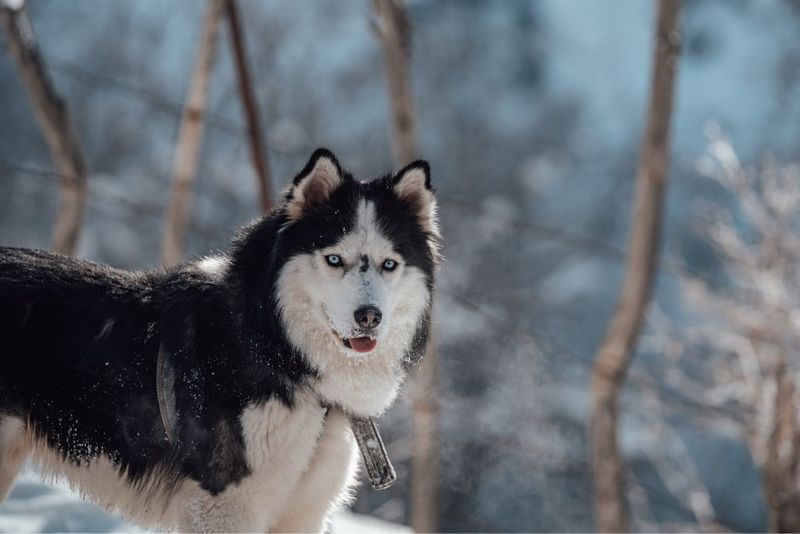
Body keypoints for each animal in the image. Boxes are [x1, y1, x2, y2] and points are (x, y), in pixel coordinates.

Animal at [0, 149, 438, 532]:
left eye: (389, 265)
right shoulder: (225, 506)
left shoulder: (303, 514)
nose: (369, 317)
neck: (279, 352)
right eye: (334, 259)